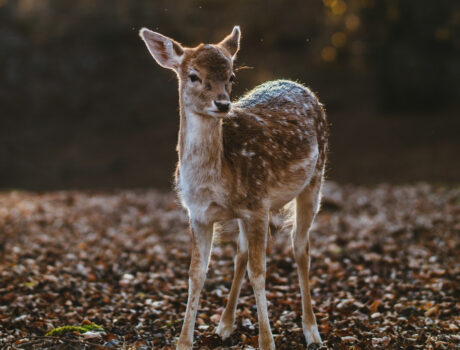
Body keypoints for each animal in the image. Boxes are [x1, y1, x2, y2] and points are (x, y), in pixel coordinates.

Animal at [138, 25, 328, 350]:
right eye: (193, 75)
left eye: (231, 77)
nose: (223, 103)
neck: (214, 182)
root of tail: (300, 86)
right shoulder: (198, 214)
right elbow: (196, 274)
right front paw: (184, 342)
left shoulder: (259, 203)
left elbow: (259, 272)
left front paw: (267, 342)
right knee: (241, 253)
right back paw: (224, 324)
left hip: (315, 179)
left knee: (300, 248)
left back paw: (312, 331)